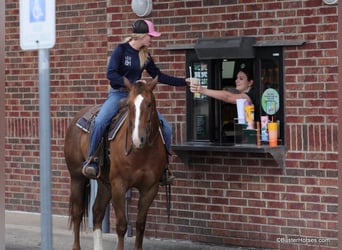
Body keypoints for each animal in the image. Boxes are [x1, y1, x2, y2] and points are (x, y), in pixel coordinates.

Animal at [63, 76, 168, 250]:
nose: (137, 139)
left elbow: (140, 224)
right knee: (77, 213)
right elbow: (121, 225)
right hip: (77, 177)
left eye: (149, 103)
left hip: (105, 183)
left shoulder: (150, 188)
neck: (141, 153)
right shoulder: (119, 185)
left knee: (97, 212)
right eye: (129, 105)